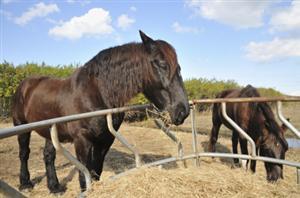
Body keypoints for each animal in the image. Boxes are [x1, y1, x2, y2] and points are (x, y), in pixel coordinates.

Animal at [12, 30, 190, 192]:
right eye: (161, 63)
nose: (183, 111)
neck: (97, 93)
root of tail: (24, 85)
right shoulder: (82, 139)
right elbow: (84, 176)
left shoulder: (105, 140)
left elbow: (96, 171)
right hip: (21, 126)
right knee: (24, 153)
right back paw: (25, 184)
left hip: (50, 131)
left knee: (49, 155)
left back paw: (54, 187)